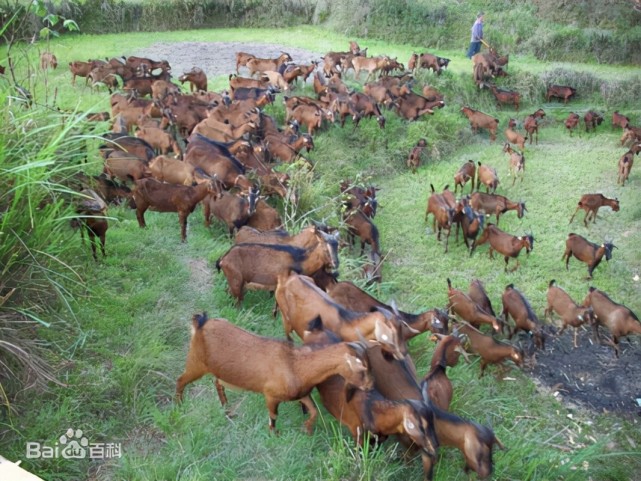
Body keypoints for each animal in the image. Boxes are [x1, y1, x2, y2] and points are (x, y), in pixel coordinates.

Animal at [175, 314, 372, 434]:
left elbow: (314, 411)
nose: (370, 386)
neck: (296, 365)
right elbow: (273, 416)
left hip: (220, 372)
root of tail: (200, 323)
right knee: (180, 380)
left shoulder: (301, 394)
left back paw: (227, 409)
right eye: (361, 368)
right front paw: (274, 434)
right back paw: (179, 404)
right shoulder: (270, 395)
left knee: (217, 383)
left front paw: (307, 429)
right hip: (196, 363)